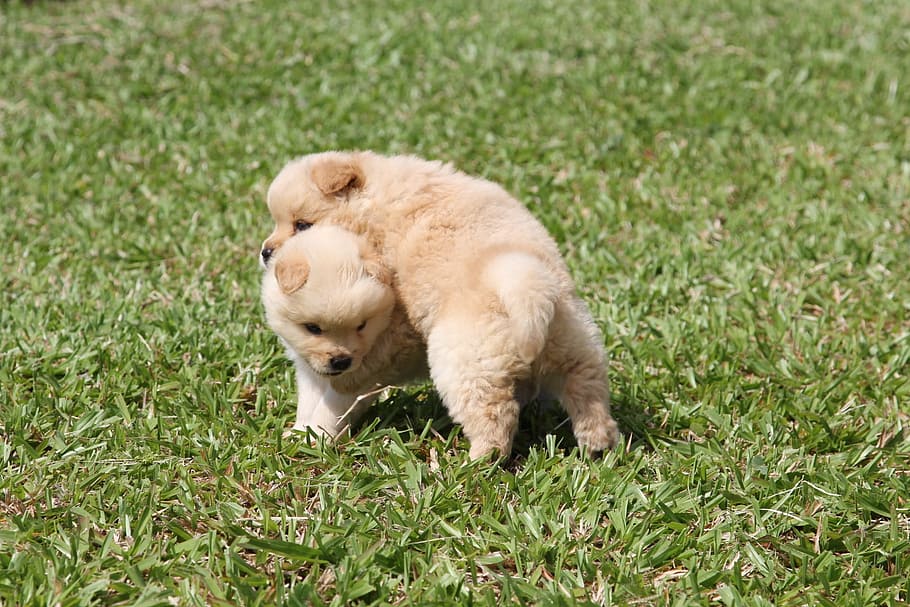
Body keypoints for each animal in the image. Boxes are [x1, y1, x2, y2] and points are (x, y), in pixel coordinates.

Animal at [262, 223, 430, 436]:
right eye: (312, 328)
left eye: (361, 325)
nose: (341, 361)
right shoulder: (309, 369)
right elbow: (308, 402)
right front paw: (299, 432)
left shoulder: (367, 371)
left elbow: (331, 408)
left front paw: (317, 435)